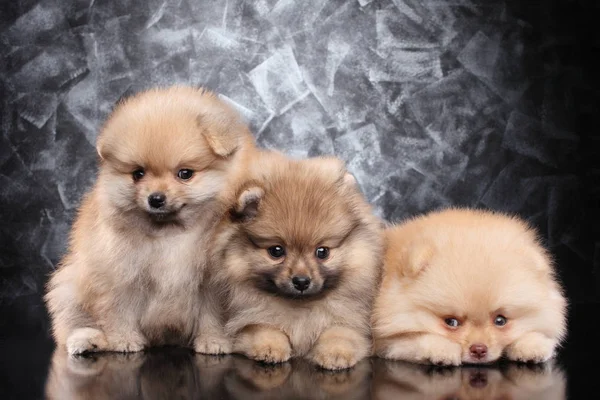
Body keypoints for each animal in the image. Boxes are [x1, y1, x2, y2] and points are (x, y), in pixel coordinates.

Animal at [44, 86, 255, 354]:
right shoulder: (119, 274)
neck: (172, 232)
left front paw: (213, 341)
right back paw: (88, 339)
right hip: (69, 286)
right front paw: (124, 340)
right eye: (138, 174)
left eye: (185, 174)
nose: (155, 198)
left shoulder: (213, 283)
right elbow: (119, 311)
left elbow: (213, 314)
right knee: (74, 322)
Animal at [211, 152, 384, 368]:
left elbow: (339, 333)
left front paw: (335, 354)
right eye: (276, 251)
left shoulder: (351, 322)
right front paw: (270, 348)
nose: (301, 281)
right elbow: (265, 329)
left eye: (322, 252)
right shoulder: (250, 322)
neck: (300, 306)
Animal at [372, 209, 564, 366]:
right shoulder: (387, 341)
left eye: (500, 320)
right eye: (451, 322)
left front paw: (533, 345)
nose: (479, 349)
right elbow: (417, 338)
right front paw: (442, 350)